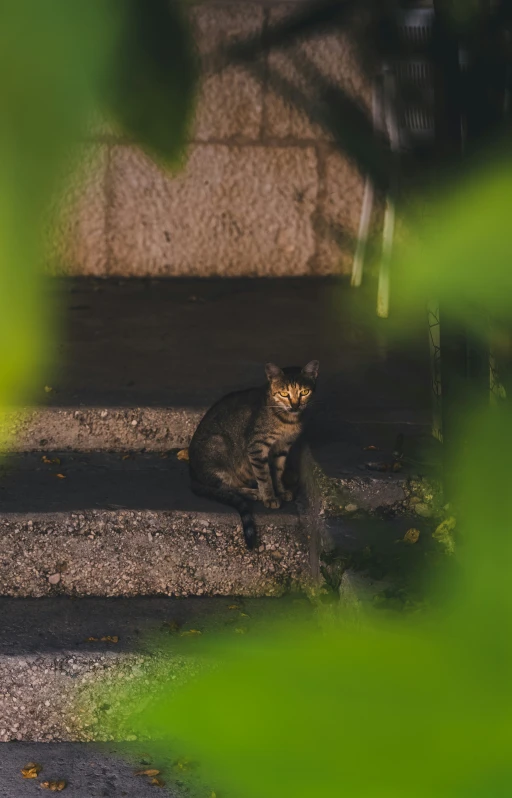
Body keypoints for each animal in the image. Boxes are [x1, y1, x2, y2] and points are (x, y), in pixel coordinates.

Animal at [189, 362, 316, 552]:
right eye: (284, 394)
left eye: (304, 392)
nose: (295, 406)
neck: (287, 421)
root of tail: (191, 474)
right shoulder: (257, 447)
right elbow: (265, 477)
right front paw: (269, 497)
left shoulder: (283, 448)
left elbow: (278, 471)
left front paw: (281, 490)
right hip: (219, 446)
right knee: (225, 487)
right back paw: (253, 492)